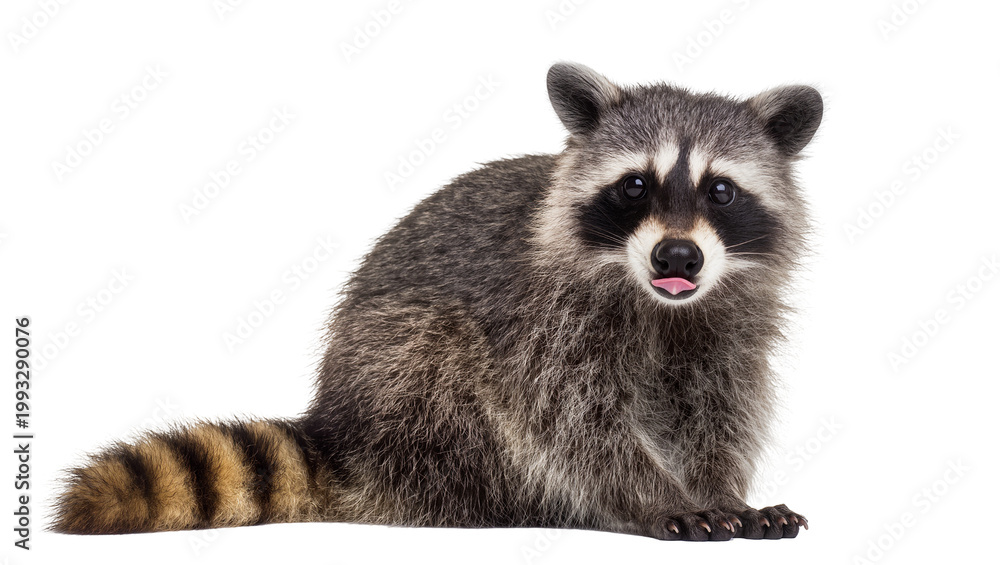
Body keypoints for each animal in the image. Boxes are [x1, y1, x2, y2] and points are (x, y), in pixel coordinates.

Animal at [53, 62, 822, 541]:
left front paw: (721, 490)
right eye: (636, 185)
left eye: (720, 190)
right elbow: (574, 425)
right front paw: (656, 497)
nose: (677, 257)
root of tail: (344, 429)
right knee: (442, 359)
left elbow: (719, 409)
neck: (660, 303)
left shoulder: (729, 324)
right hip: (406, 378)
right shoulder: (542, 323)